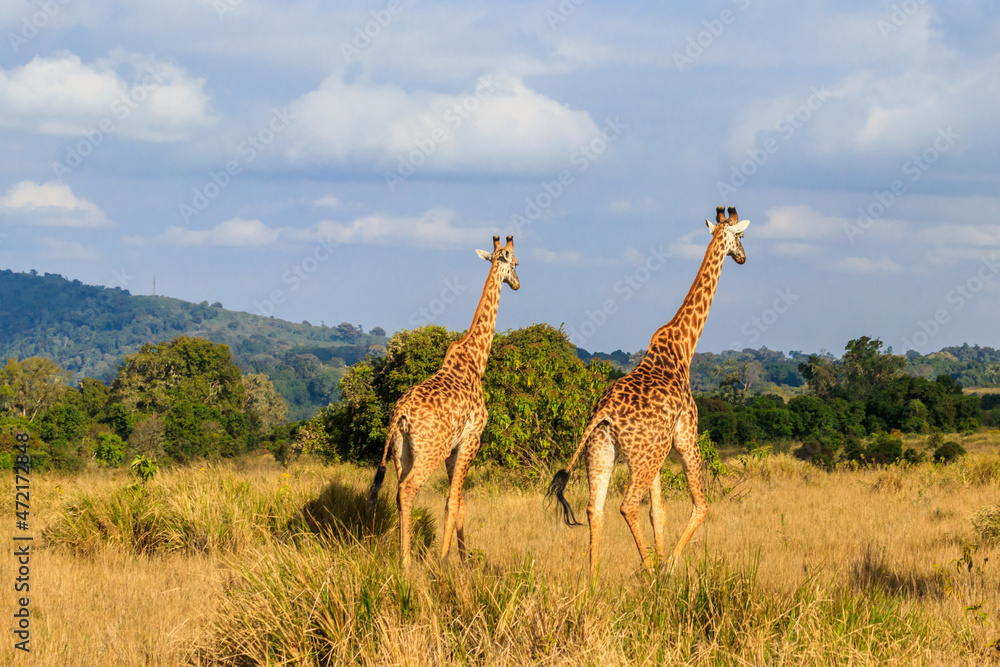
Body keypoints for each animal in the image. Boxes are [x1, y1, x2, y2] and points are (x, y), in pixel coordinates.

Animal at [368, 235, 520, 570]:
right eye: (516, 264)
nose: (517, 283)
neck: (476, 362)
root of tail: (400, 413)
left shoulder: (454, 448)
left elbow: (460, 503)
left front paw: (464, 561)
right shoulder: (471, 439)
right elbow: (453, 501)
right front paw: (445, 559)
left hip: (401, 452)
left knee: (397, 491)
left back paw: (403, 556)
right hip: (429, 452)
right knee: (409, 489)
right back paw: (407, 563)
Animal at [547, 206, 749, 578]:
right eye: (741, 236)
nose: (743, 257)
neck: (683, 346)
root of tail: (603, 413)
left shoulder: (660, 449)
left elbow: (659, 513)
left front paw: (661, 560)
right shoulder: (684, 435)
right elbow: (700, 505)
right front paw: (667, 564)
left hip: (602, 453)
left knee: (594, 509)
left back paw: (593, 580)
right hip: (643, 456)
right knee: (627, 506)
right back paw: (650, 569)